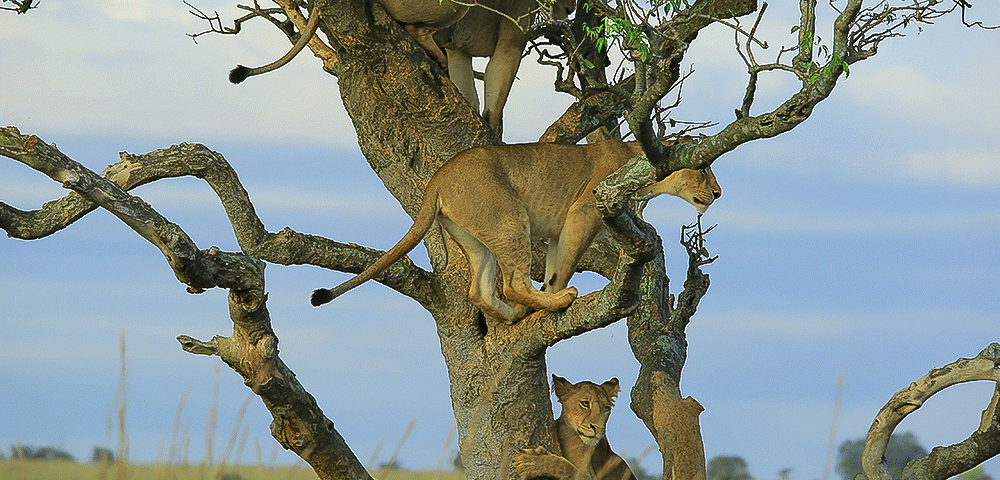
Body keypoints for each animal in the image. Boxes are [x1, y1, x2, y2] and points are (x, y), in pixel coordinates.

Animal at [310, 138, 720, 322]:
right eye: (703, 169)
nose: (718, 193)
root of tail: (437, 178)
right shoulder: (584, 211)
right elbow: (565, 266)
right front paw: (555, 298)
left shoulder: (557, 231)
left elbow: (554, 266)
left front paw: (547, 297)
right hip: (509, 218)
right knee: (512, 283)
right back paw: (551, 302)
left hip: (477, 236)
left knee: (480, 290)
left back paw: (514, 315)